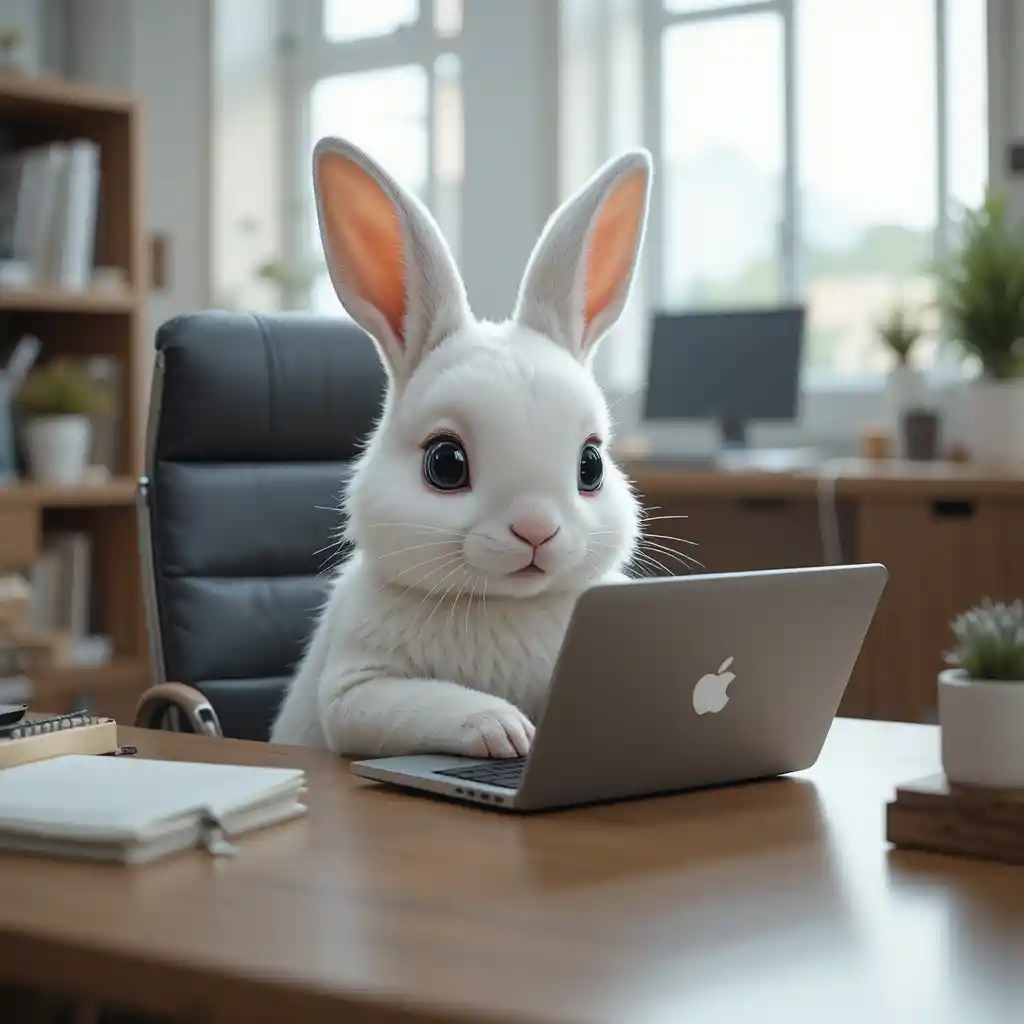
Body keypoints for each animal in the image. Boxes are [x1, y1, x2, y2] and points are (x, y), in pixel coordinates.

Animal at [270, 134, 653, 759]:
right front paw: (505, 730)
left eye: (591, 464)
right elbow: (427, 703)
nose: (536, 531)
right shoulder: (357, 693)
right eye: (444, 463)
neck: (504, 604)